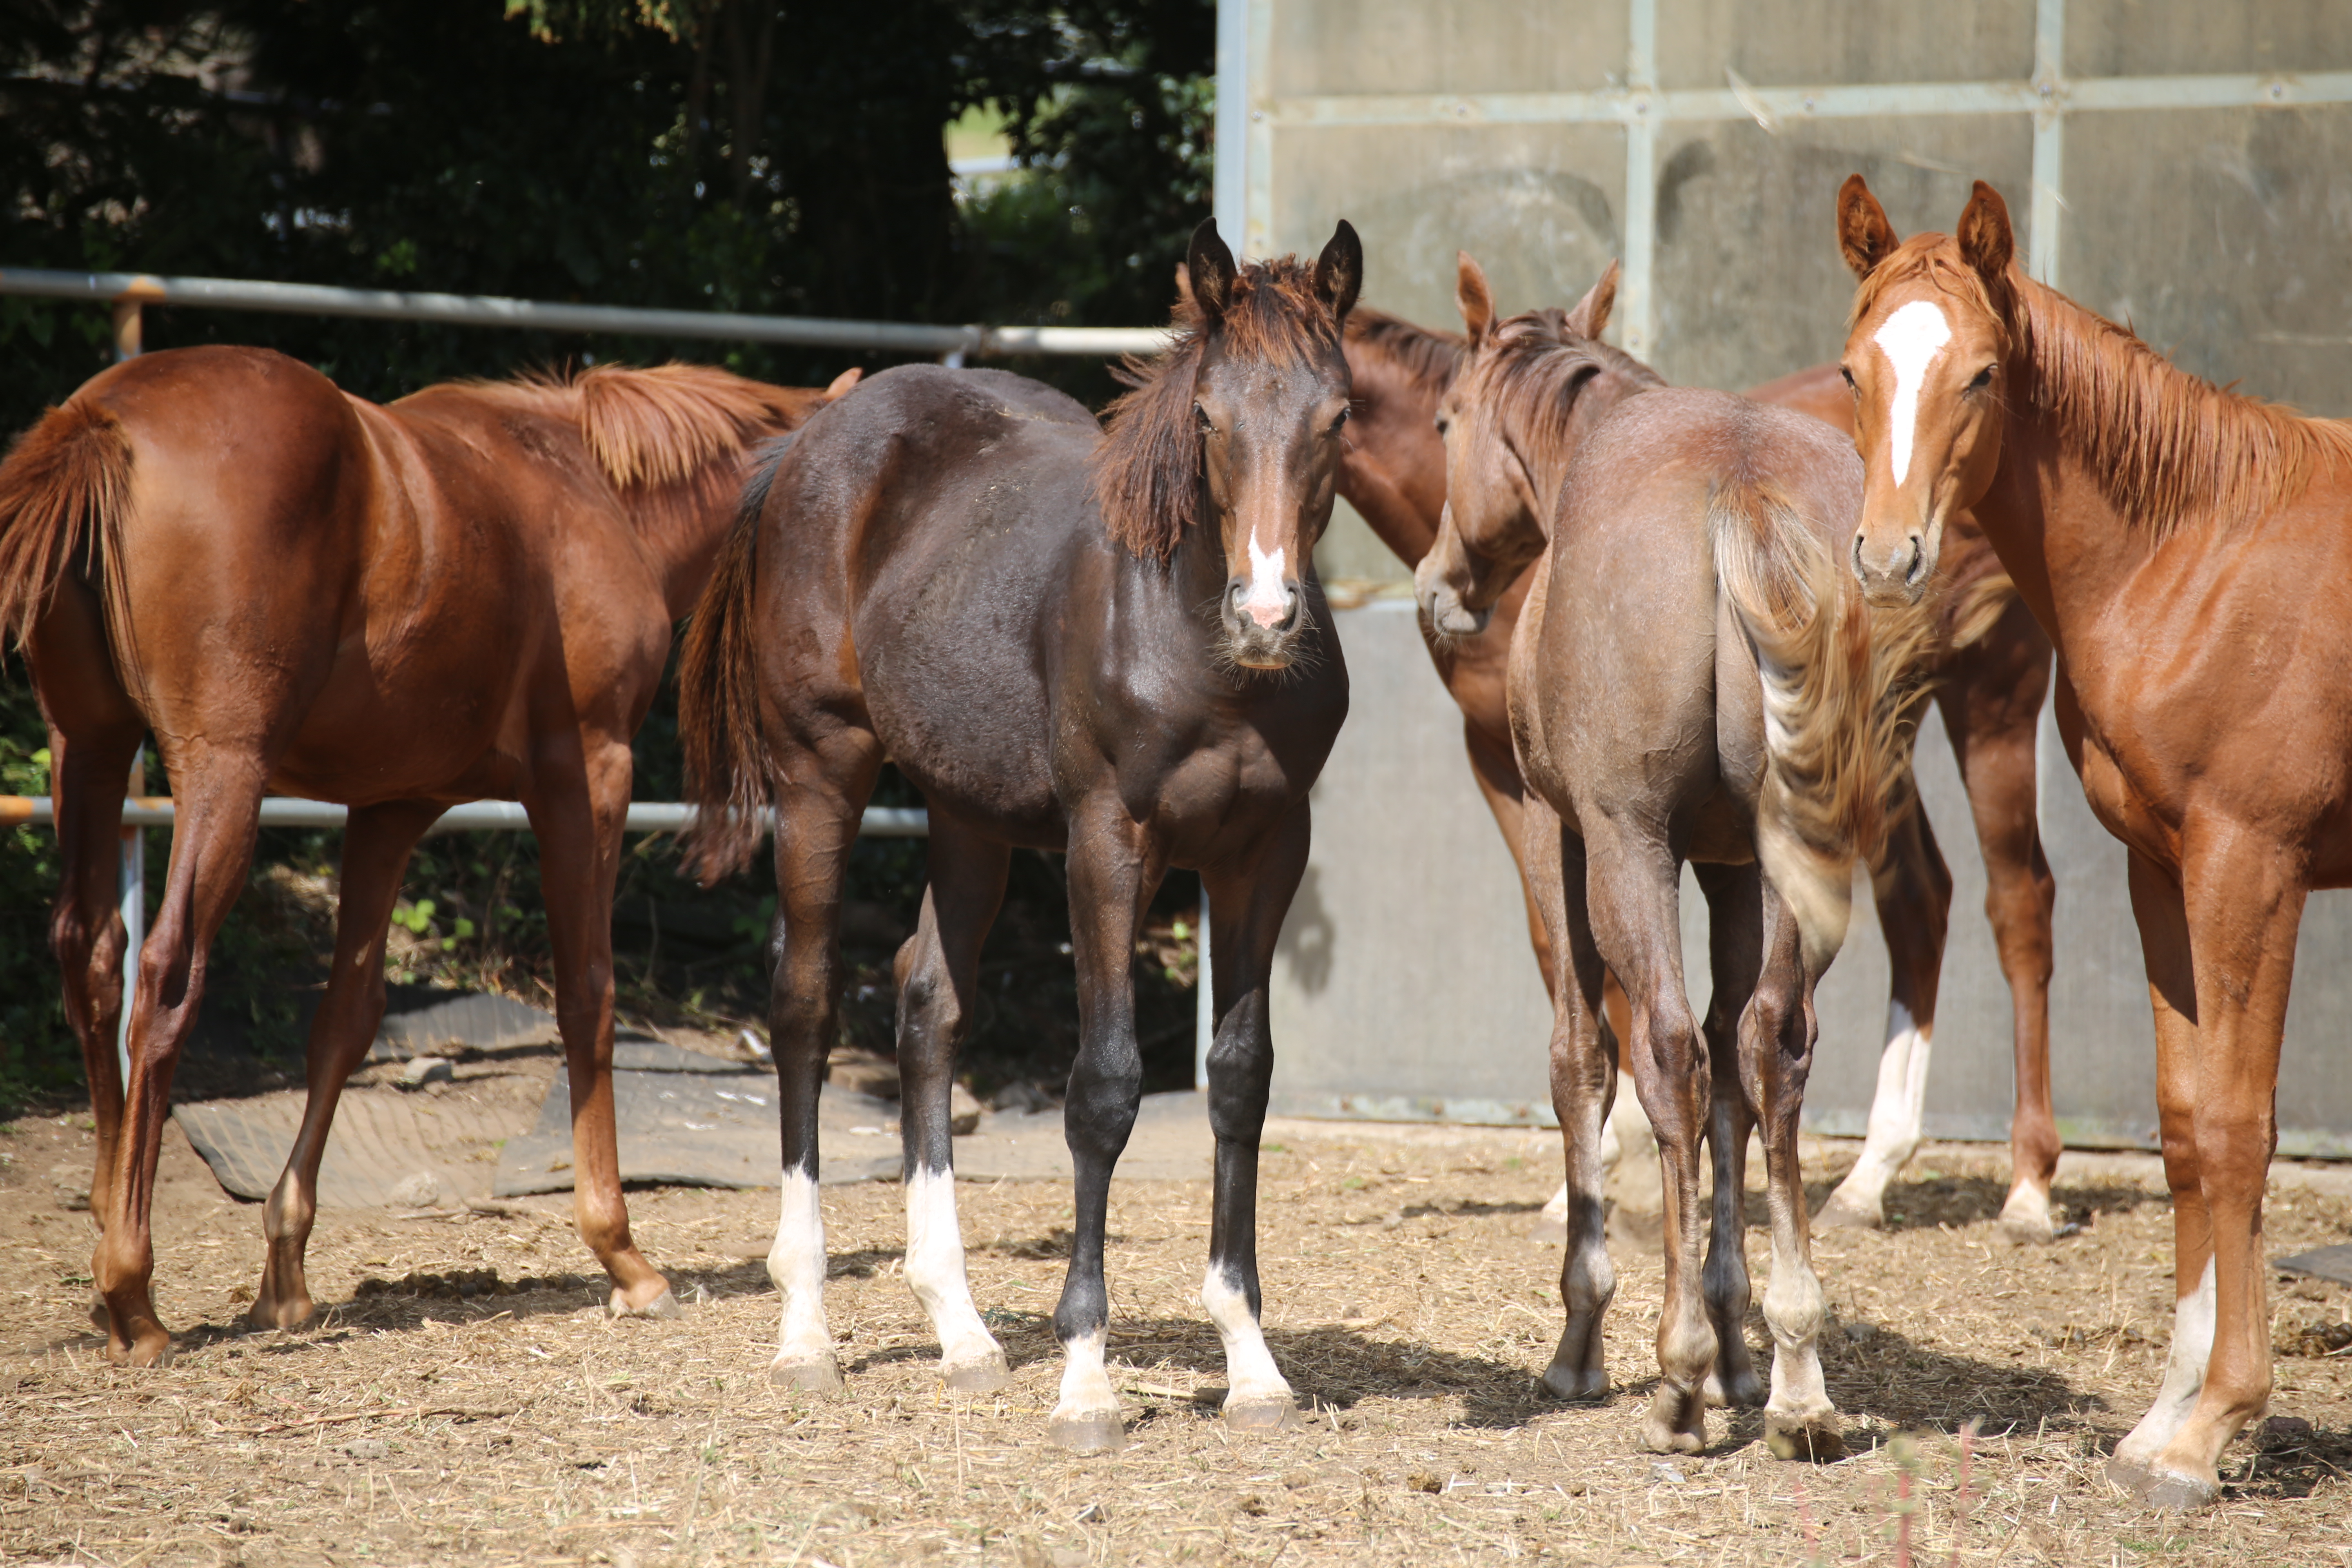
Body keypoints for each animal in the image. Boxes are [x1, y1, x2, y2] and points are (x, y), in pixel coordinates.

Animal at [0, 345, 856, 1363]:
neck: (595, 489)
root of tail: (100, 422)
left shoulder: (391, 809)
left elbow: (348, 1017)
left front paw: (286, 1277)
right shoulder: (587, 777)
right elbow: (589, 998)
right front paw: (624, 1258)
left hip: (89, 751)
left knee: (91, 955)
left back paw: (106, 1245)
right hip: (221, 771)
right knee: (165, 976)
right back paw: (132, 1292)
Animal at [673, 215, 1354, 1457]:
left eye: (1335, 416)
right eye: (1208, 419)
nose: (1267, 613)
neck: (1194, 648)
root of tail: (814, 435)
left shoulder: (1264, 852)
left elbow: (1240, 1080)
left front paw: (1251, 1361)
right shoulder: (1107, 845)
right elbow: (1106, 1087)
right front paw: (1085, 1377)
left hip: (966, 815)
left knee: (927, 1004)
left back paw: (962, 1331)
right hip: (820, 775)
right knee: (803, 1005)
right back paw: (806, 1332)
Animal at [1411, 257, 1929, 1457]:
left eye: (1448, 418)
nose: (1439, 584)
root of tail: (1741, 485)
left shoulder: (1557, 833)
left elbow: (1584, 1060)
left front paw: (1593, 1341)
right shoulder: (1735, 864)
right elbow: (1738, 1077)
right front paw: (1747, 1350)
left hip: (1625, 849)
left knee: (1665, 1052)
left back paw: (1679, 1377)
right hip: (1794, 859)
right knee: (1768, 1047)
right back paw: (1796, 1381)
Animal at [1834, 177, 2352, 1514]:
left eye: (1978, 375)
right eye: (1853, 369)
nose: (1889, 558)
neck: (2196, 552)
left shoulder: (2251, 867)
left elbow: (2237, 1124)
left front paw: (2212, 1425)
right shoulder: (2159, 864)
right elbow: (2181, 1121)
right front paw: (2170, 1406)